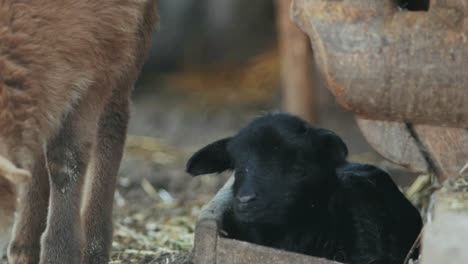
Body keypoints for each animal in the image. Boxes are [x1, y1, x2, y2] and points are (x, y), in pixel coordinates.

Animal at [0, 1, 159, 262]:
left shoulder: (100, 51)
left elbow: (66, 159)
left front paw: (60, 252)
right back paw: (24, 245)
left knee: (113, 119)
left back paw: (94, 247)